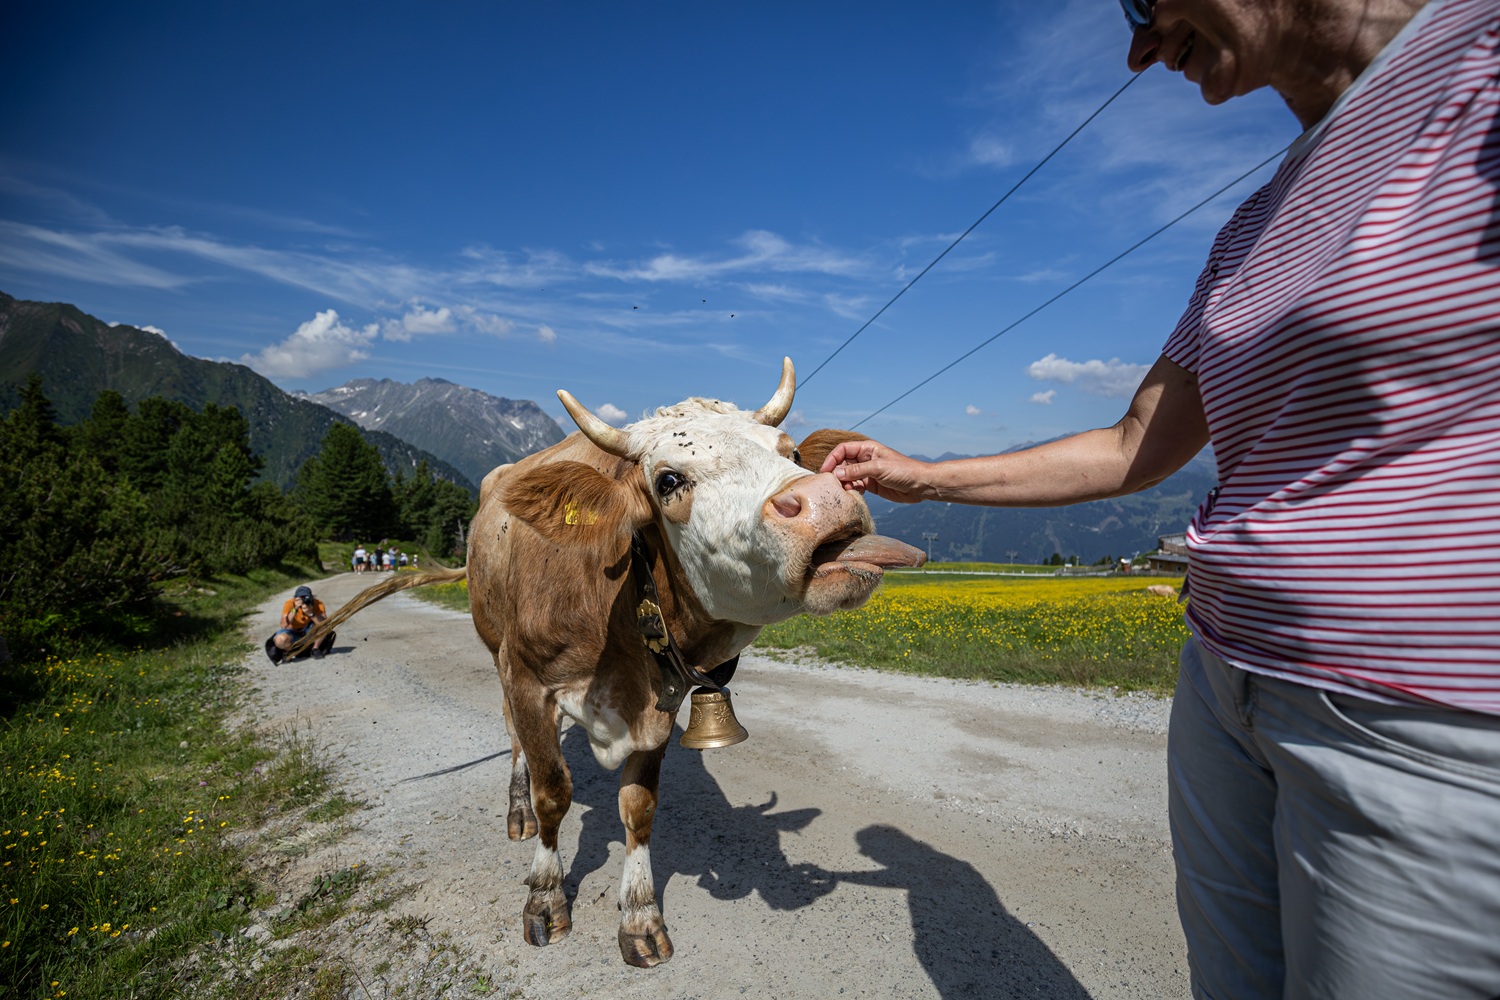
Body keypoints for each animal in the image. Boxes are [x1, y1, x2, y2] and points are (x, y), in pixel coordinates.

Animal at [297, 359, 924, 967]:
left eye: (790, 454)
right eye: (668, 480)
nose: (826, 500)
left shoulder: (661, 700)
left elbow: (638, 809)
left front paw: (640, 917)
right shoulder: (528, 681)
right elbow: (554, 791)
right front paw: (545, 897)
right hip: (497, 654)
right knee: (517, 739)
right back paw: (518, 812)